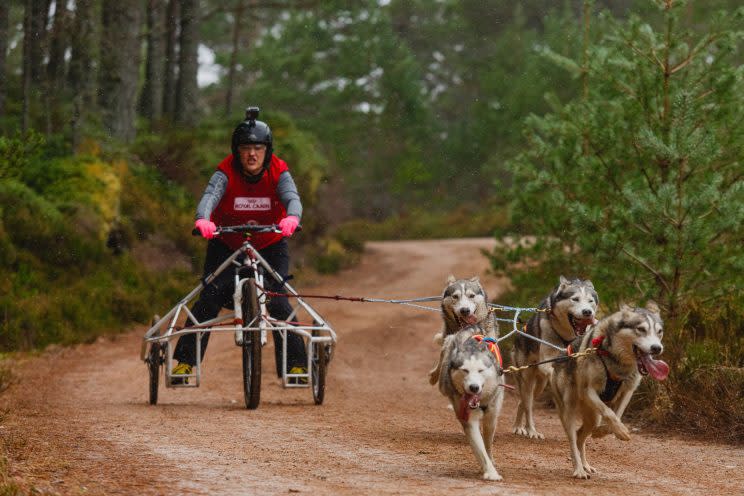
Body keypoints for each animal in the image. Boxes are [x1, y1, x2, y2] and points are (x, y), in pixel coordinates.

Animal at [436, 326, 506, 480]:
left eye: (481, 370)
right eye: (465, 370)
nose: (474, 387)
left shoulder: (491, 417)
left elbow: (487, 446)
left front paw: (489, 465)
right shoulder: (468, 419)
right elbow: (480, 450)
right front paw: (491, 472)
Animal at [512, 276, 600, 438]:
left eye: (590, 301)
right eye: (575, 299)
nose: (587, 312)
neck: (568, 338)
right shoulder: (547, 363)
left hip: (540, 385)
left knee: (523, 403)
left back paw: (520, 426)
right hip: (527, 379)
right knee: (528, 405)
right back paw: (529, 430)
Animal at [552, 300, 668, 478]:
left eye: (659, 332)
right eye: (641, 329)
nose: (657, 348)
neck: (617, 363)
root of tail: (562, 352)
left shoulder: (628, 391)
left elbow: (617, 415)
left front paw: (604, 432)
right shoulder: (589, 391)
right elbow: (609, 413)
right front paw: (620, 431)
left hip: (592, 417)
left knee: (580, 436)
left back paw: (586, 465)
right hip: (569, 409)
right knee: (572, 440)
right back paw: (579, 469)